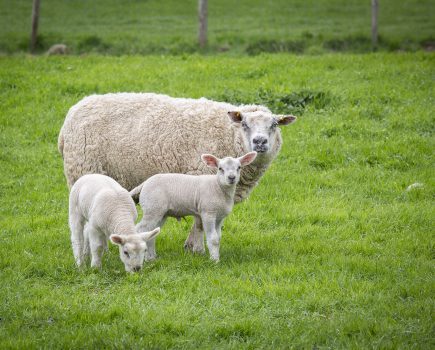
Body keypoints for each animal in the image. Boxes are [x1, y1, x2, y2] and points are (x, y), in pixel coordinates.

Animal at [57, 93, 296, 254]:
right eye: (244, 124)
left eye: (274, 125)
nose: (260, 142)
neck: (229, 135)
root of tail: (73, 112)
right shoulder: (202, 181)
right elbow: (199, 222)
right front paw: (196, 249)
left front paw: (192, 247)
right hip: (84, 172)